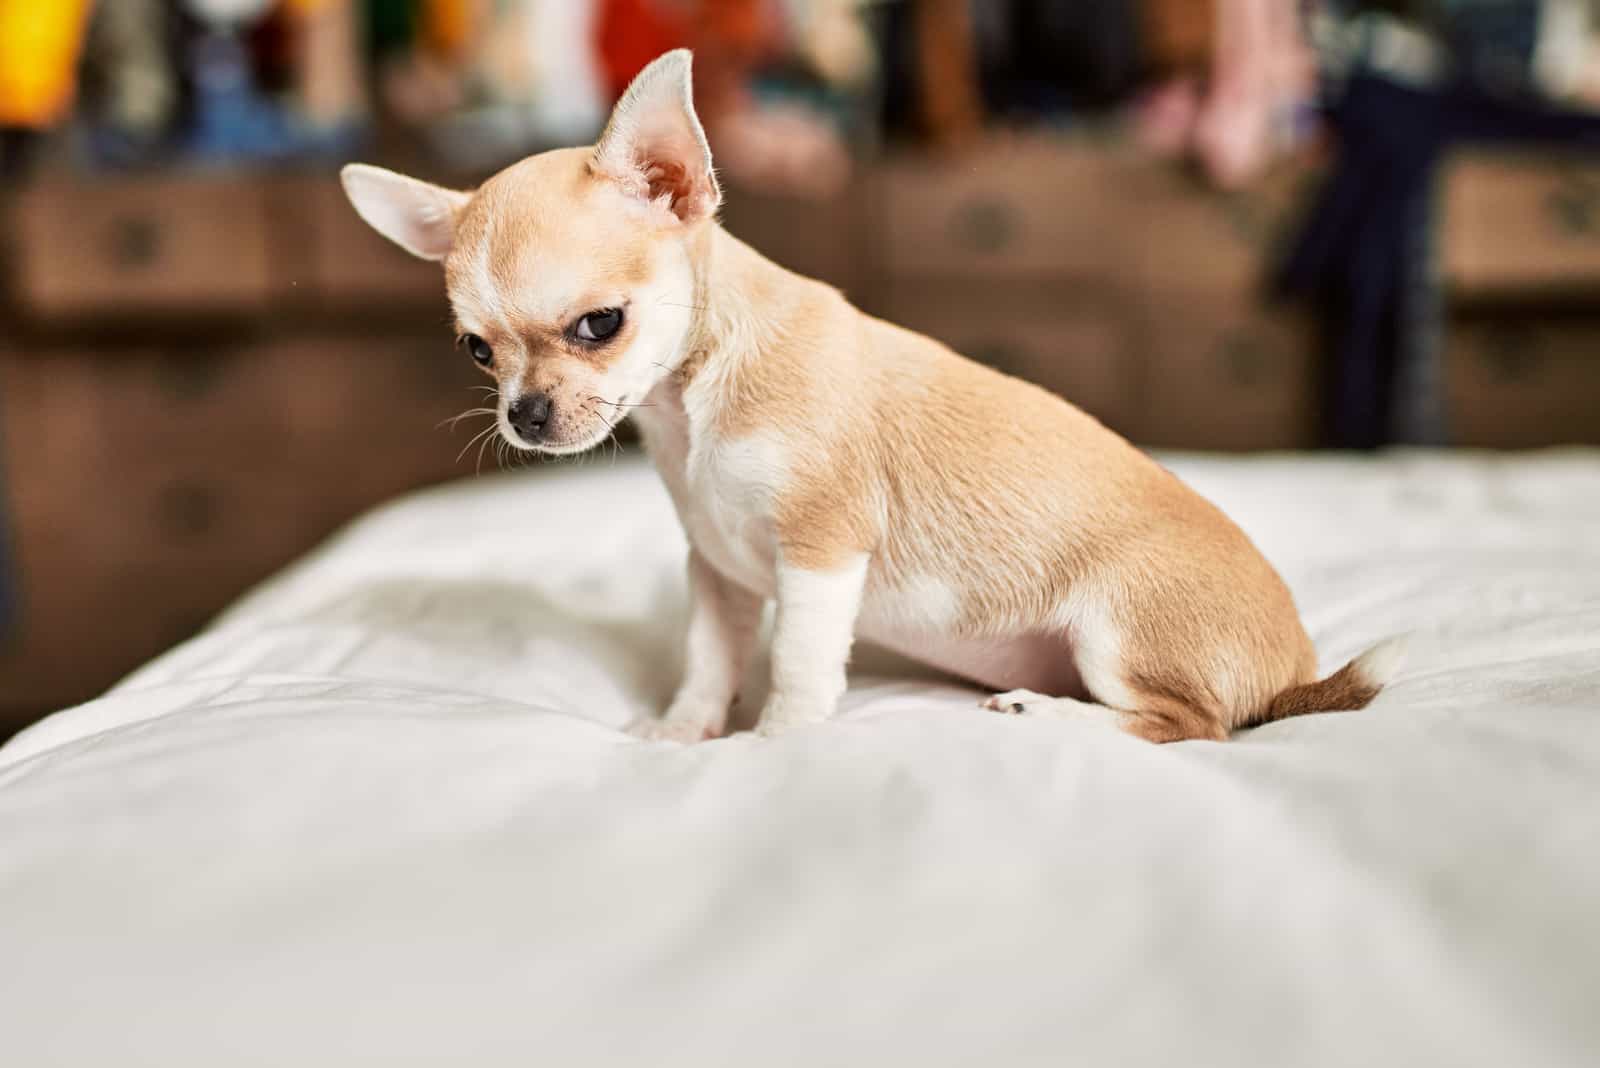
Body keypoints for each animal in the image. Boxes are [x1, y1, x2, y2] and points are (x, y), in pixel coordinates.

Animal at [340, 47, 1401, 741]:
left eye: (601, 325)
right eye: (477, 351)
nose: (523, 415)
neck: (696, 399)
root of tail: (1295, 673)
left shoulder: (820, 550)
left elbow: (799, 668)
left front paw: (776, 747)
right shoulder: (718, 572)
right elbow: (708, 663)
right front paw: (683, 735)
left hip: (1119, 631)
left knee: (1185, 729)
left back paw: (1042, 712)